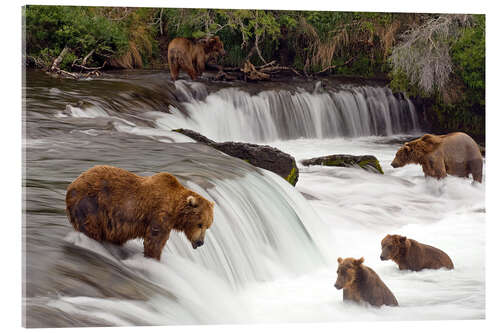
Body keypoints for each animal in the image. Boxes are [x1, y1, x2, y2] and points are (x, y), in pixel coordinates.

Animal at [65, 165, 214, 260]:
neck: (175, 210)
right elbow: (155, 241)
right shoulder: (160, 215)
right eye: (200, 224)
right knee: (90, 227)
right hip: (91, 204)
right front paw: (153, 258)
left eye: (208, 226)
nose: (200, 242)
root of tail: (72, 184)